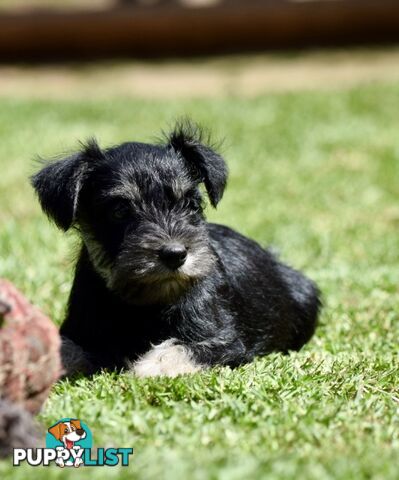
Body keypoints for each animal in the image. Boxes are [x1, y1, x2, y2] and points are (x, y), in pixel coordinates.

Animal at [32, 122, 324, 376]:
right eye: (119, 211)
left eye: (190, 204)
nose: (175, 255)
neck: (143, 303)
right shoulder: (79, 332)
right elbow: (64, 348)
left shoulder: (222, 340)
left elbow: (180, 349)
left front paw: (148, 367)